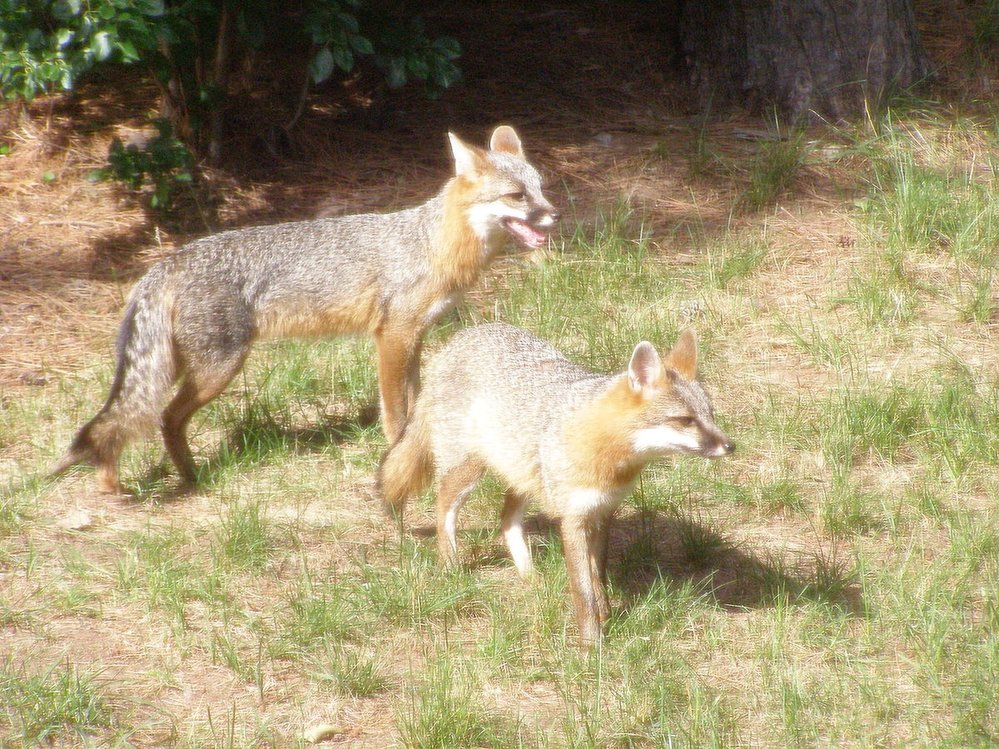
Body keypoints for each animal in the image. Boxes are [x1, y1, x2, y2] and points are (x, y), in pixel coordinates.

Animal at [54, 125, 560, 494]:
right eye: (517, 196)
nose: (555, 215)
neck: (432, 244)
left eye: (541, 189)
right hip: (218, 369)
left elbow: (416, 405)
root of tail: (169, 261)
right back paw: (182, 481)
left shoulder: (413, 337)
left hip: (181, 367)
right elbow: (396, 413)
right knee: (157, 418)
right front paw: (394, 454)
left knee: (124, 421)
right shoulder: (392, 337)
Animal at [376, 322, 736, 644]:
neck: (608, 456)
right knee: (444, 510)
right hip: (468, 472)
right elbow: (583, 590)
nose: (730, 446)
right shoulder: (573, 519)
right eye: (685, 420)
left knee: (506, 520)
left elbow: (597, 575)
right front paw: (592, 647)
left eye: (710, 415)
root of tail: (463, 337)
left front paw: (606, 616)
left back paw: (529, 575)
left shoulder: (602, 512)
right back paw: (451, 566)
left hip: (523, 477)